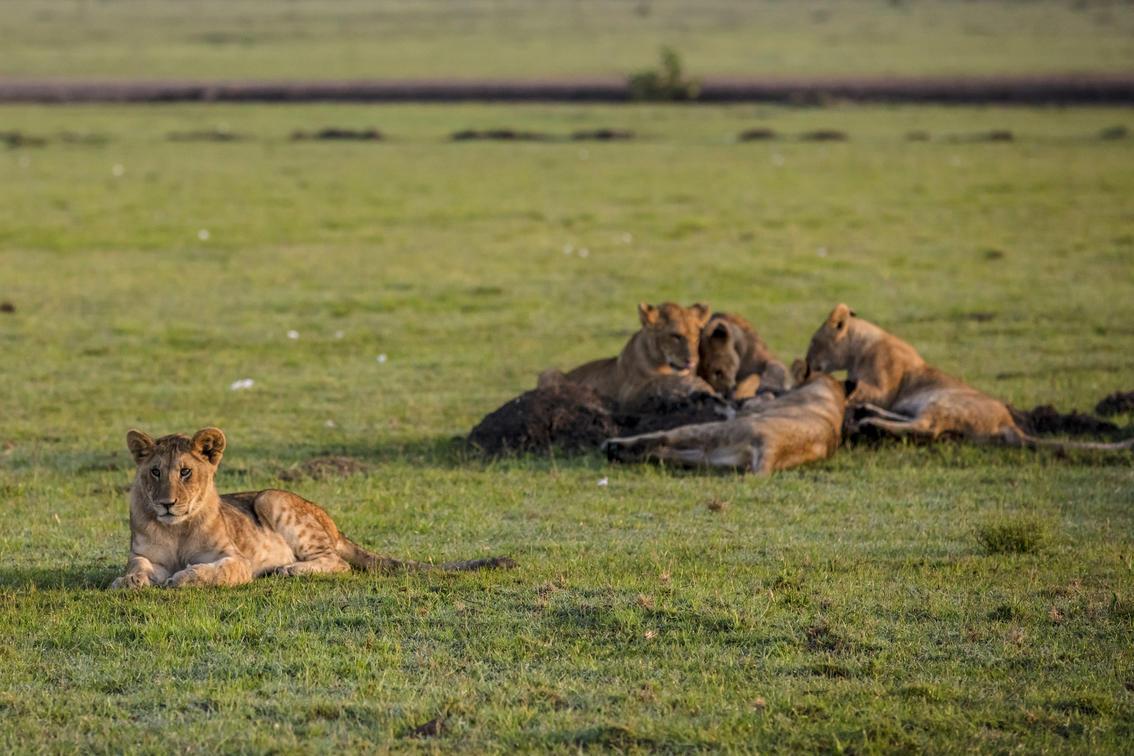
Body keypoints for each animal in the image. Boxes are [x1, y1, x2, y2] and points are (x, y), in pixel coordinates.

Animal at [111, 428, 516, 589]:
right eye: (155, 472)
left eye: (185, 471)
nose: (166, 503)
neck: (176, 528)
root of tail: (335, 526)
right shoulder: (147, 555)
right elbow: (138, 566)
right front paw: (127, 581)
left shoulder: (237, 560)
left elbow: (213, 570)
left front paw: (185, 578)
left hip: (271, 498)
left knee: (338, 563)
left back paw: (289, 569)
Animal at [539, 301, 716, 409]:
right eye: (675, 336)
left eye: (697, 336)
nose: (691, 361)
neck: (662, 362)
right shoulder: (628, 393)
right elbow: (658, 381)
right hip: (549, 372)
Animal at [602, 371, 846, 474]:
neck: (833, 395)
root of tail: (774, 449)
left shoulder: (749, 409)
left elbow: (738, 406)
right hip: (712, 457)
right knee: (664, 452)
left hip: (712, 433)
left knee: (662, 438)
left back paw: (612, 446)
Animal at [806, 303, 1134, 451]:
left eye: (813, 342)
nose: (807, 364)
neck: (862, 343)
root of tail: (1009, 423)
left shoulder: (885, 385)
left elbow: (861, 391)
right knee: (921, 424)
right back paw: (868, 416)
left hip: (945, 399)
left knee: (928, 428)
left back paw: (870, 423)